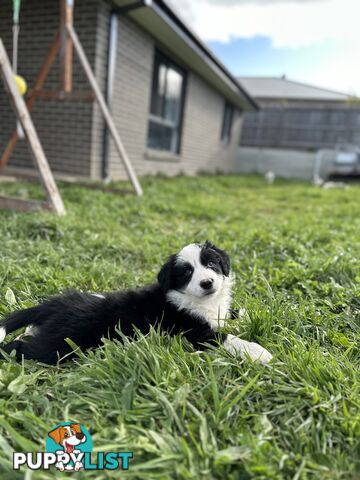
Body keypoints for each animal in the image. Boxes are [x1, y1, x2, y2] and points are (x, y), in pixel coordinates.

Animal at [0, 242, 272, 366]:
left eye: (212, 263)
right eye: (186, 273)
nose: (207, 283)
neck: (198, 300)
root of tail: (53, 305)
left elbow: (233, 314)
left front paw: (258, 313)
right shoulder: (192, 332)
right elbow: (225, 337)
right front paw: (258, 351)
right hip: (64, 342)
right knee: (22, 348)